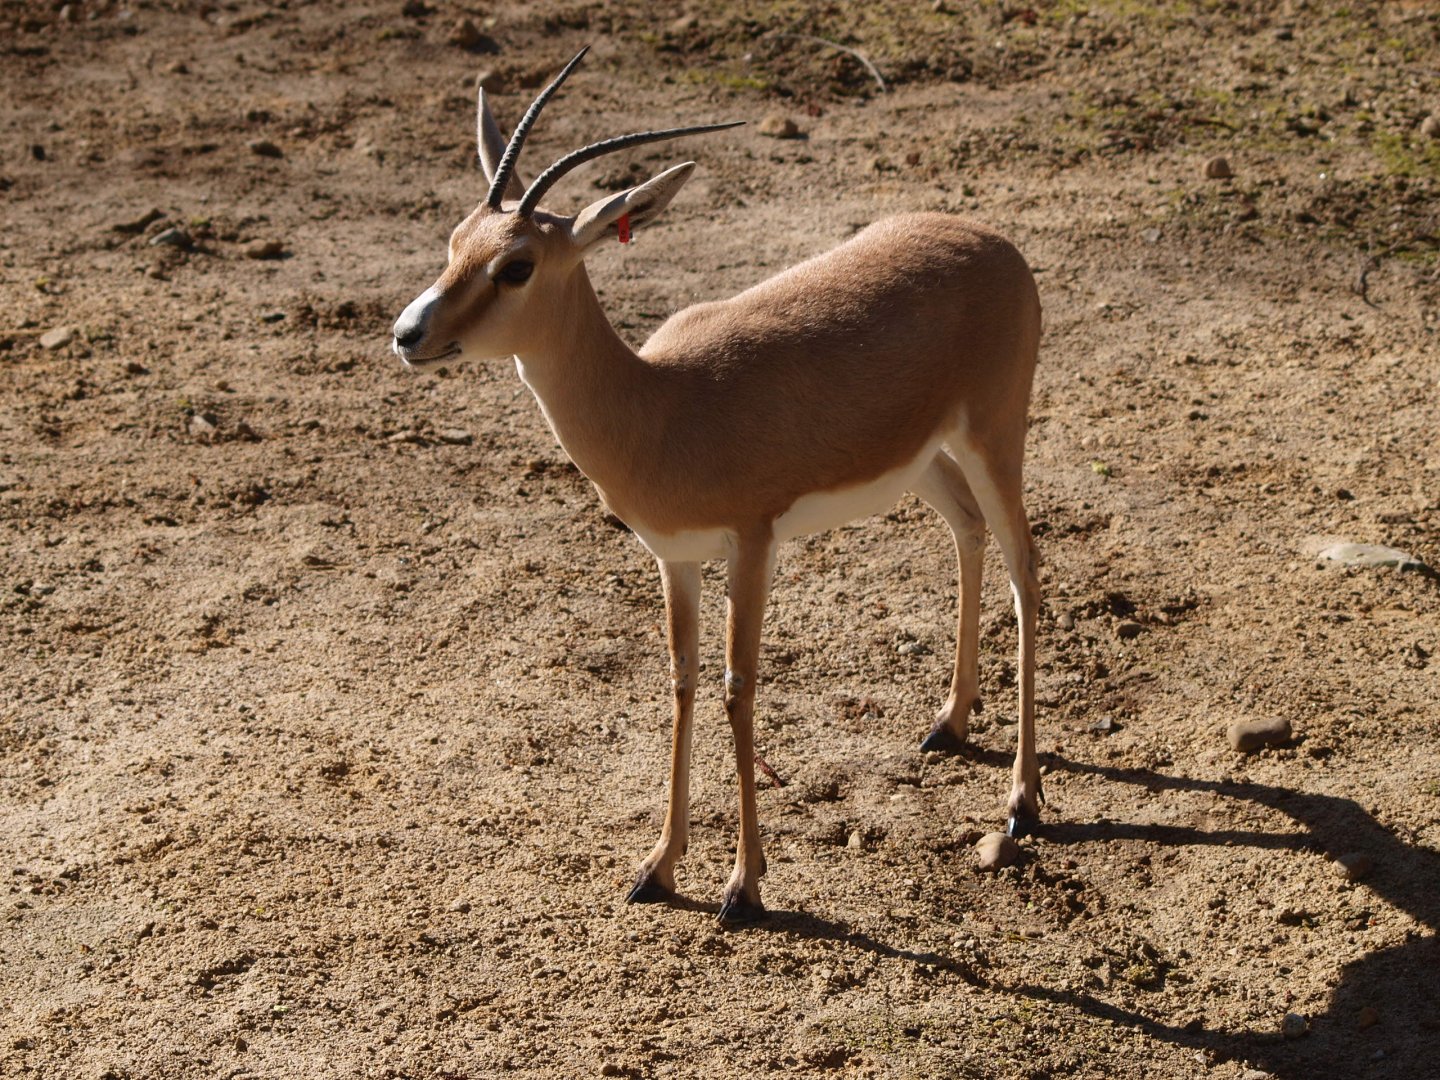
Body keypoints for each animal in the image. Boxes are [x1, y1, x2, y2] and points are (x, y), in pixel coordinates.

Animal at [393, 49, 1043, 922]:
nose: (409, 333)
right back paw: (949, 723)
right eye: (455, 241)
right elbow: (682, 684)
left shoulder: (753, 544)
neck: (663, 404)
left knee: (1024, 569)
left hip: (994, 438)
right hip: (925, 460)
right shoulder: (676, 559)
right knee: (968, 532)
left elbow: (739, 687)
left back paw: (1023, 801)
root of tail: (995, 241)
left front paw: (743, 885)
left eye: (517, 266)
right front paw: (658, 868)